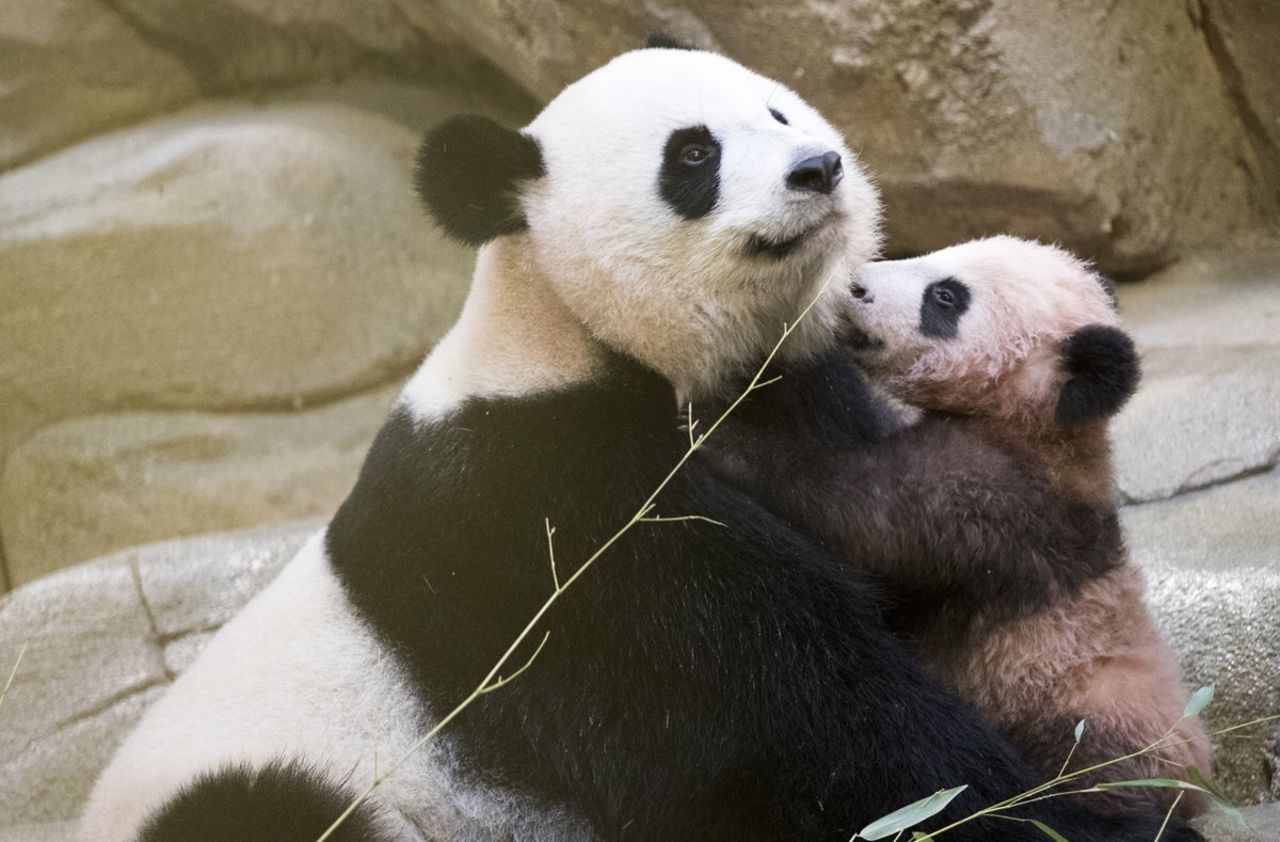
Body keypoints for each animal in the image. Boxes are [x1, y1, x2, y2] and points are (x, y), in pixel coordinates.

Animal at [698, 236, 1212, 817]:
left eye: (945, 297)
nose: (855, 285)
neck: (1044, 427)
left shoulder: (999, 503)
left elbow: (862, 517)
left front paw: (718, 440)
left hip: (1093, 717)